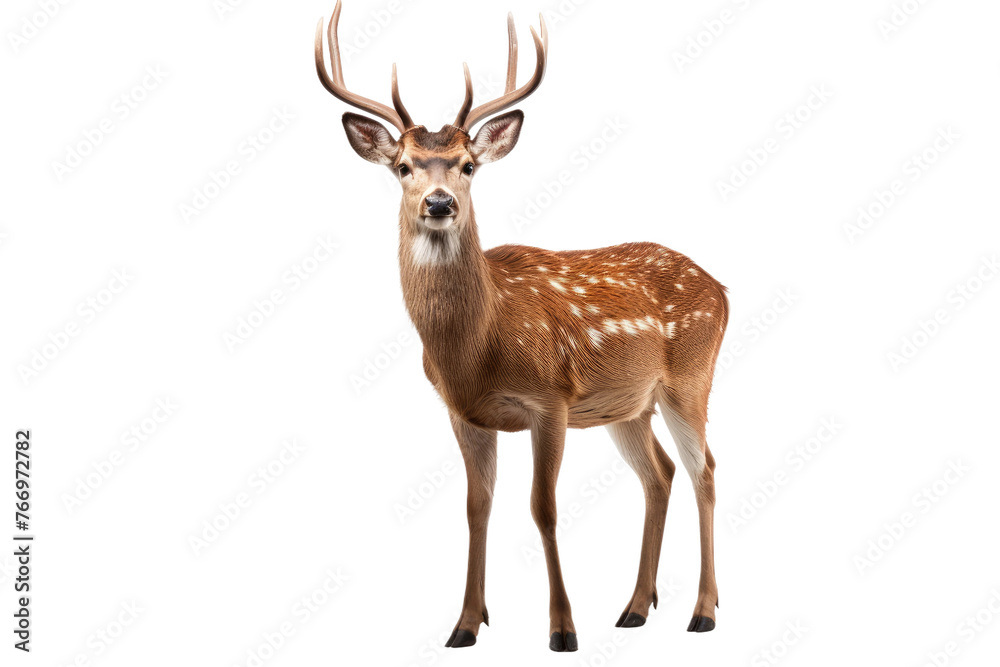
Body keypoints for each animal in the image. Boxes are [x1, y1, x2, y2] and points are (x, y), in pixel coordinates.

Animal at [315, 1, 728, 652]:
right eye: (403, 167)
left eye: (468, 166)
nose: (439, 202)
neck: (479, 346)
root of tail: (723, 288)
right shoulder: (462, 412)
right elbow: (476, 506)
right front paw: (464, 624)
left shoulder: (551, 398)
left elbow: (544, 508)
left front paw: (562, 629)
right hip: (628, 404)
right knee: (659, 475)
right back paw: (635, 607)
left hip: (690, 377)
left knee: (703, 470)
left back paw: (703, 612)